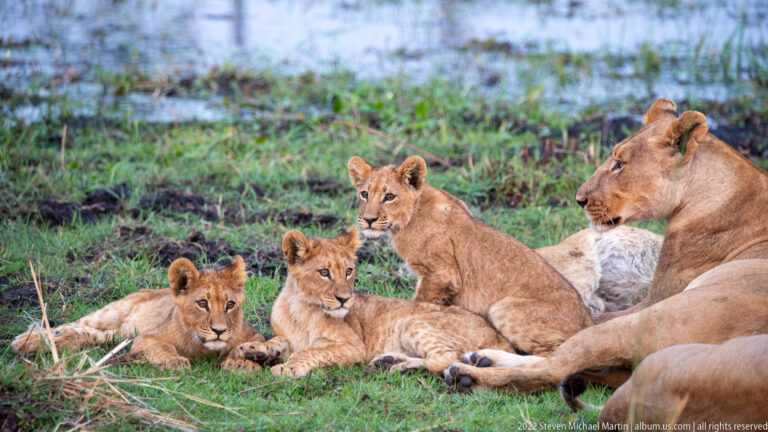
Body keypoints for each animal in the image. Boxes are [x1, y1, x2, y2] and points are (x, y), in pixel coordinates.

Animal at [13, 256, 266, 370]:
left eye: (230, 304)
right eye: (202, 303)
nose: (219, 331)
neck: (203, 348)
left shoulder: (254, 336)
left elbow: (249, 346)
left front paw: (243, 363)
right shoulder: (146, 338)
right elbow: (162, 348)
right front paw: (174, 361)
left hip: (118, 335)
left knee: (85, 334)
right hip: (112, 313)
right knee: (74, 324)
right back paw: (26, 341)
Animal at [230, 226, 517, 378]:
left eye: (348, 271)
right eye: (324, 272)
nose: (345, 299)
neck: (302, 308)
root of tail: (498, 335)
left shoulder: (353, 346)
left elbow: (308, 351)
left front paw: (286, 368)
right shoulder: (288, 335)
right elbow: (279, 341)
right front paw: (255, 350)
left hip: (414, 324)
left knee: (446, 358)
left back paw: (401, 367)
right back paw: (387, 361)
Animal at [440, 99, 768, 412]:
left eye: (620, 164)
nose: (579, 199)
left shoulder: (656, 298)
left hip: (649, 322)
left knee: (557, 366)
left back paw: (468, 376)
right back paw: (482, 358)